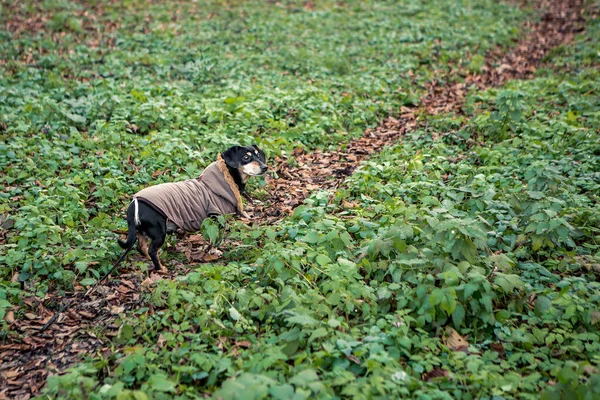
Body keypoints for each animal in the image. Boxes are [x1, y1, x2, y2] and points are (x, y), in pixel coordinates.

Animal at [114, 145, 268, 274]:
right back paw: (161, 268)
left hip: (143, 232)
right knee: (152, 250)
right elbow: (215, 239)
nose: (265, 167)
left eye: (258, 156)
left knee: (141, 248)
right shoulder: (216, 218)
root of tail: (134, 204)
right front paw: (214, 251)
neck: (226, 178)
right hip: (159, 232)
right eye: (246, 157)